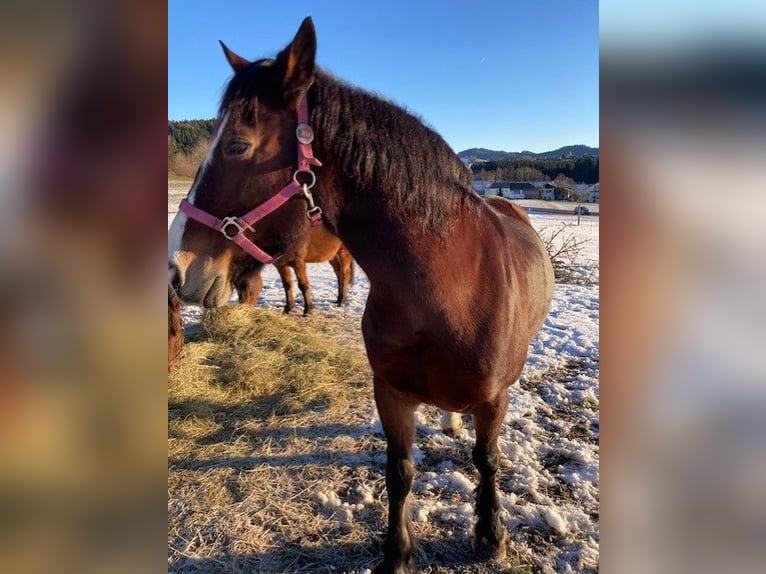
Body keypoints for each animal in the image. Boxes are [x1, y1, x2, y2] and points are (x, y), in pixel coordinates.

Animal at [168, 16, 556, 572]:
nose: (177, 269)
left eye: (237, 145)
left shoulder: (493, 398)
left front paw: (491, 533)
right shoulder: (389, 392)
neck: (443, 295)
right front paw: (397, 553)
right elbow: (400, 473)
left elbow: (488, 460)